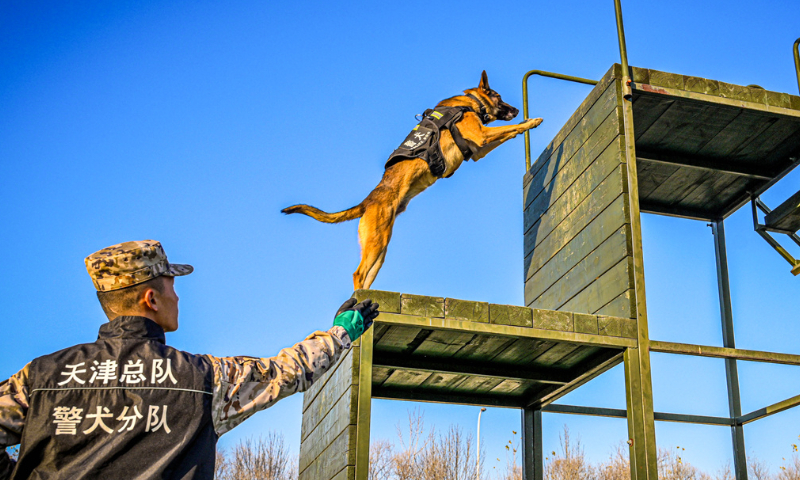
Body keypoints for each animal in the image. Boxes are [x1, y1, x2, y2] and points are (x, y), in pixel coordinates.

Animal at [282, 71, 544, 288]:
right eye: (498, 97)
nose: (516, 110)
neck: (469, 103)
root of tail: (367, 201)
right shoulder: (481, 135)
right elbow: (509, 129)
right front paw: (530, 122)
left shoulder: (479, 148)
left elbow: (507, 134)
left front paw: (524, 125)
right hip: (377, 240)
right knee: (358, 274)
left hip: (380, 248)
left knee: (366, 275)